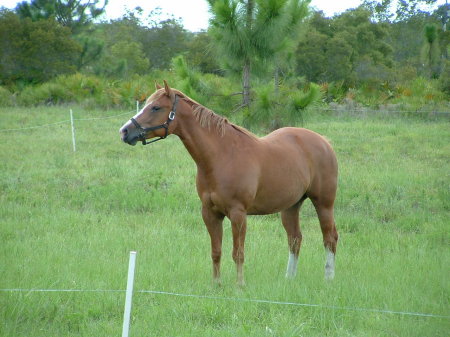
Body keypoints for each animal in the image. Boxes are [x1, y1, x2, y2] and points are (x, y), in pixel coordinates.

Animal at [119, 80, 338, 284]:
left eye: (156, 107)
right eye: (146, 104)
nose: (124, 132)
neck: (222, 156)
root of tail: (324, 142)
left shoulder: (238, 214)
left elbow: (238, 253)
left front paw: (239, 285)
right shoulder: (210, 213)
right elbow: (216, 252)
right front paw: (216, 285)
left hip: (323, 204)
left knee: (330, 238)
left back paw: (329, 278)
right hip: (291, 206)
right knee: (295, 239)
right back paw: (289, 279)